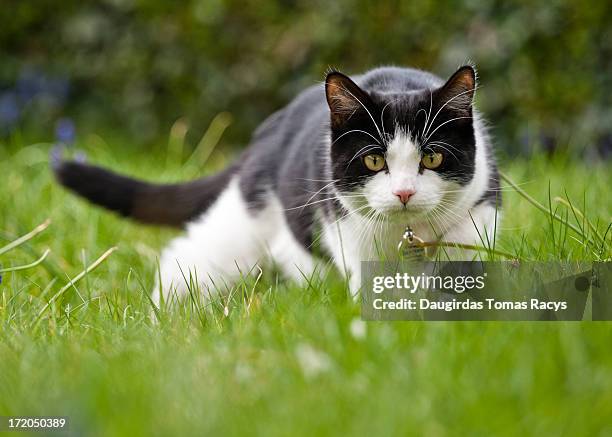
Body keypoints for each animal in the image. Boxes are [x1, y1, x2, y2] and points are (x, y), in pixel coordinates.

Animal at [52, 64, 502, 304]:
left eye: (432, 158)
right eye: (374, 160)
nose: (404, 192)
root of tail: (267, 133)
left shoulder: (482, 200)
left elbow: (466, 247)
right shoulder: (345, 224)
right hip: (243, 223)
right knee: (191, 254)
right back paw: (165, 311)